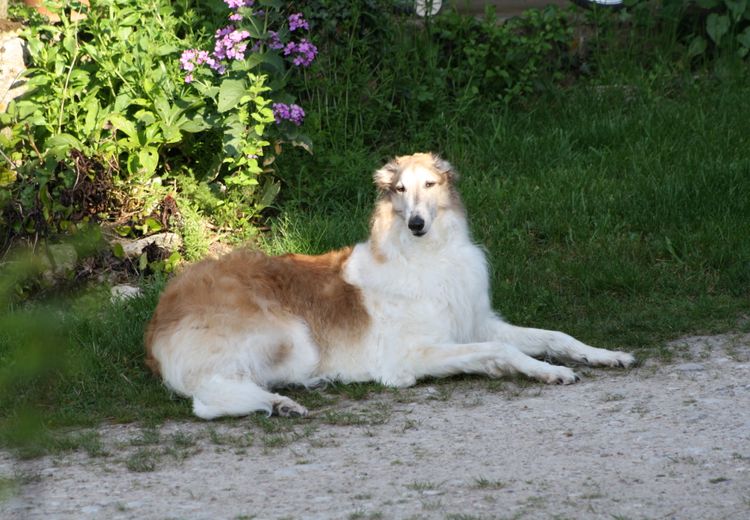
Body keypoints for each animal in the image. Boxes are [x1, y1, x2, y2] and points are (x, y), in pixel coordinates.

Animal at [145, 151, 636, 418]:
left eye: (430, 184)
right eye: (399, 189)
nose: (417, 224)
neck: (429, 255)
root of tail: (157, 321)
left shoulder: (476, 323)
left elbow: (557, 336)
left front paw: (607, 355)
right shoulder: (413, 353)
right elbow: (503, 351)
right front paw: (549, 372)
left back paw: (283, 401)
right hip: (288, 337)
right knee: (205, 398)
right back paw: (281, 402)